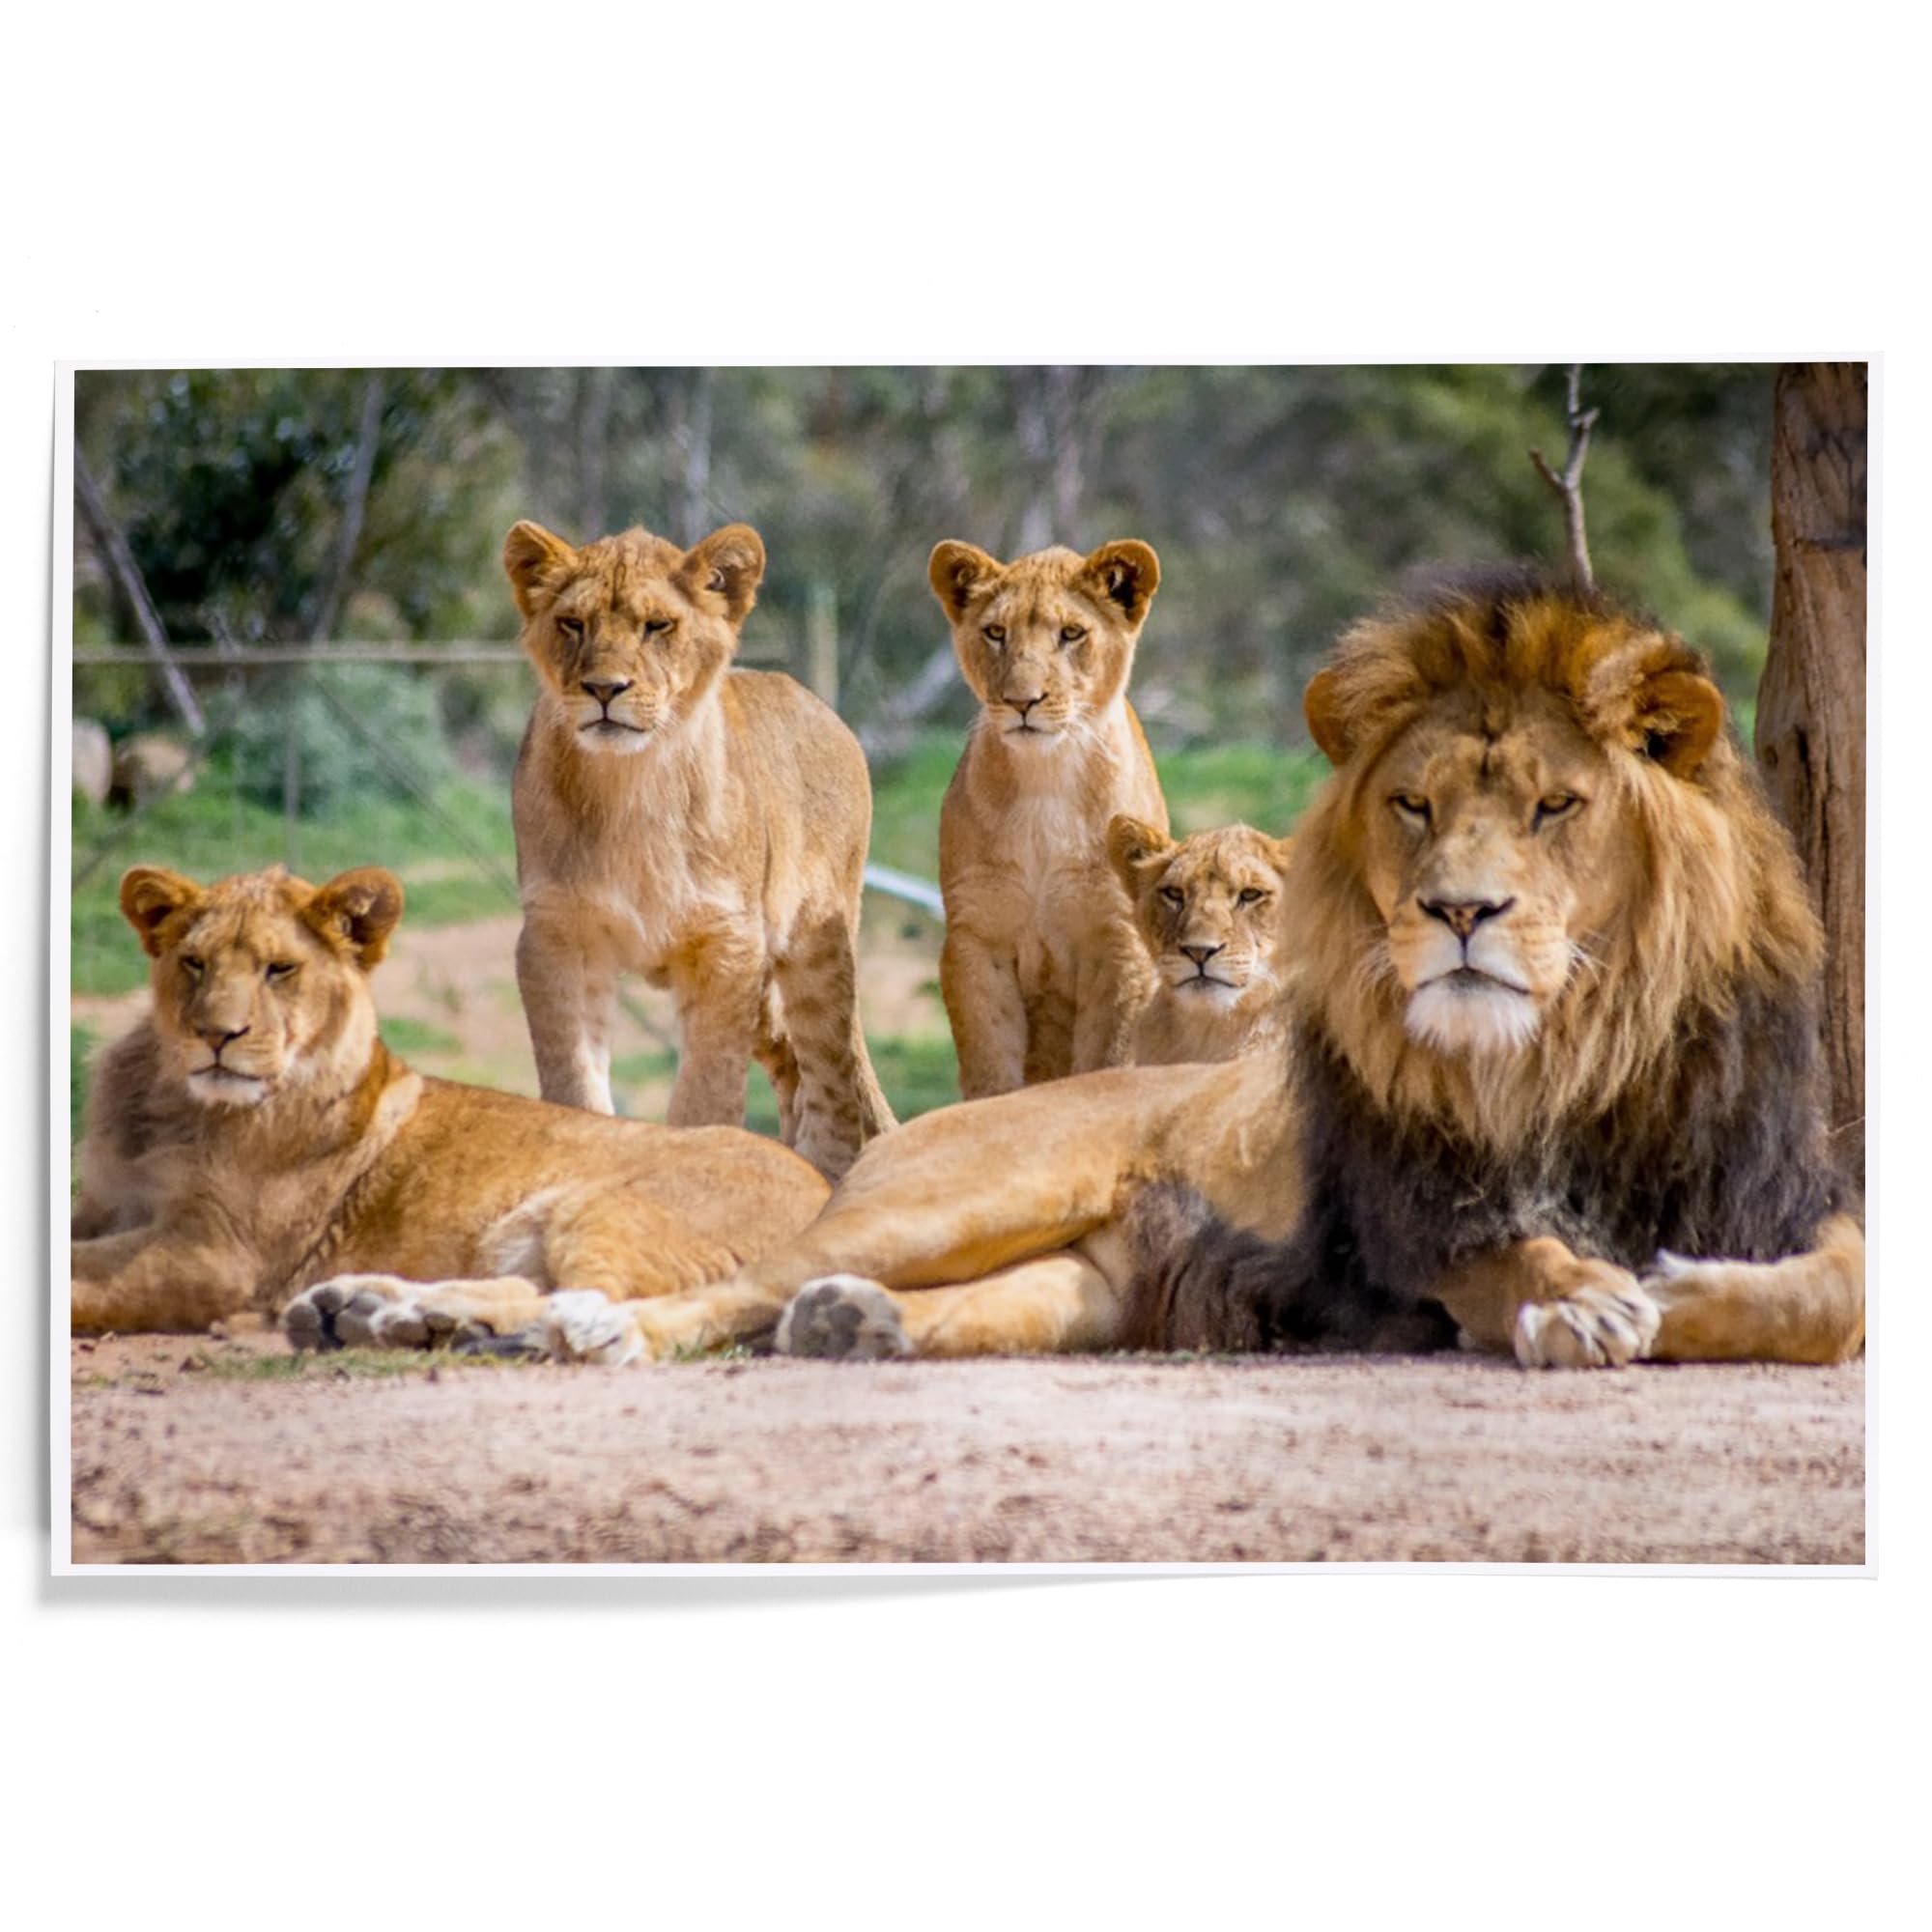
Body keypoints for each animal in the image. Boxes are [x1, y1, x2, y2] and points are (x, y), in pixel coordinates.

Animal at [72, 863, 829, 1343]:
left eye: (279, 969)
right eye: (194, 963)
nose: (216, 1035)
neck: (173, 1105)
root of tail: (827, 1189)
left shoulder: (218, 1254)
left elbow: (81, 1277)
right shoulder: (106, 1204)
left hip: (608, 1209)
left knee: (589, 1299)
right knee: (537, 1289)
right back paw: (374, 1311)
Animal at [505, 518, 894, 1179]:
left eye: (657, 626)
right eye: (573, 624)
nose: (604, 689)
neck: (629, 786)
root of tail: (824, 709)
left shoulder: (727, 943)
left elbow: (705, 1092)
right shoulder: (558, 936)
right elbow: (574, 1081)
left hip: (815, 943)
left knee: (831, 1072)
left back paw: (822, 1172)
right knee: (792, 1064)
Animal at [928, 539, 1170, 1098]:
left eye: (1072, 633)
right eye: (996, 632)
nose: (1022, 701)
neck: (1046, 777)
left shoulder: (1118, 941)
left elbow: (1107, 1060)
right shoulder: (978, 938)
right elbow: (990, 1065)